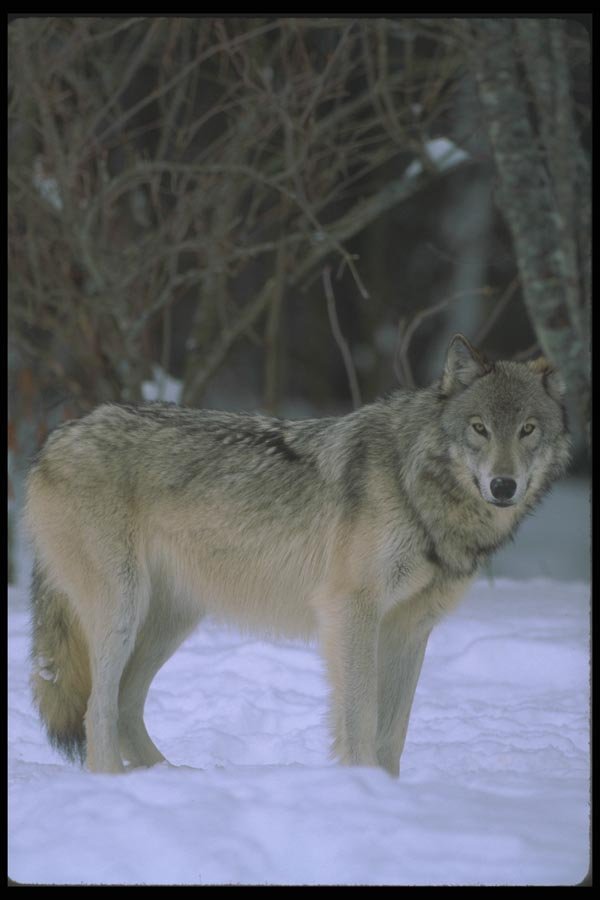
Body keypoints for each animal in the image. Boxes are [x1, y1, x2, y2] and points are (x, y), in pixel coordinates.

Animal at [25, 335, 570, 776]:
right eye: (479, 428)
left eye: (527, 430)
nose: (504, 486)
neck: (417, 488)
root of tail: (57, 439)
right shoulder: (351, 611)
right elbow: (361, 719)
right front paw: (363, 789)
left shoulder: (411, 629)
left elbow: (393, 733)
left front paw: (389, 797)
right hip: (123, 611)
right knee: (97, 710)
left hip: (170, 621)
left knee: (124, 706)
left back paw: (171, 779)